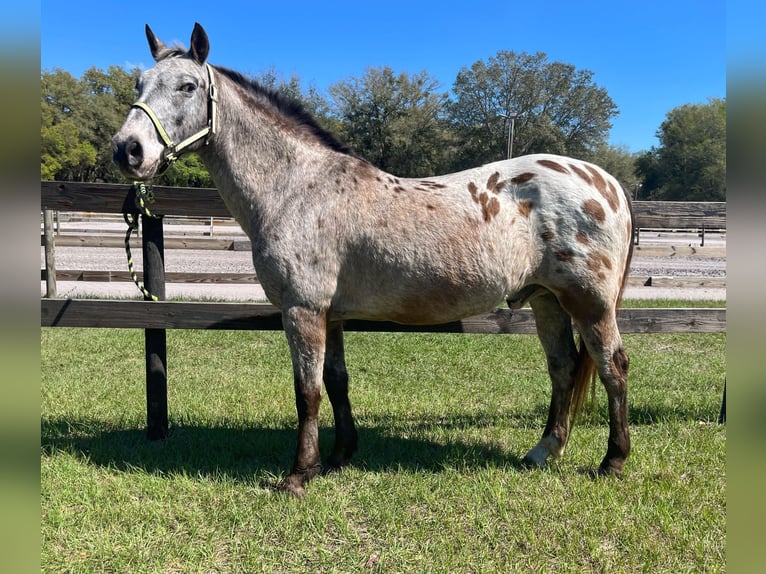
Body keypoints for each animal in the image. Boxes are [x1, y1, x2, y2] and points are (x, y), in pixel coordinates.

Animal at [109, 22, 636, 498]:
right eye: (138, 84)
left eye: (187, 86)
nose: (127, 149)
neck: (297, 187)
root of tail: (606, 182)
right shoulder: (331, 315)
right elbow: (336, 382)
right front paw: (339, 457)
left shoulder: (302, 311)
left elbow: (307, 393)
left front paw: (298, 476)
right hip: (548, 301)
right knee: (563, 368)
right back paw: (544, 451)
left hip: (589, 303)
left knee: (613, 367)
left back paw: (612, 461)